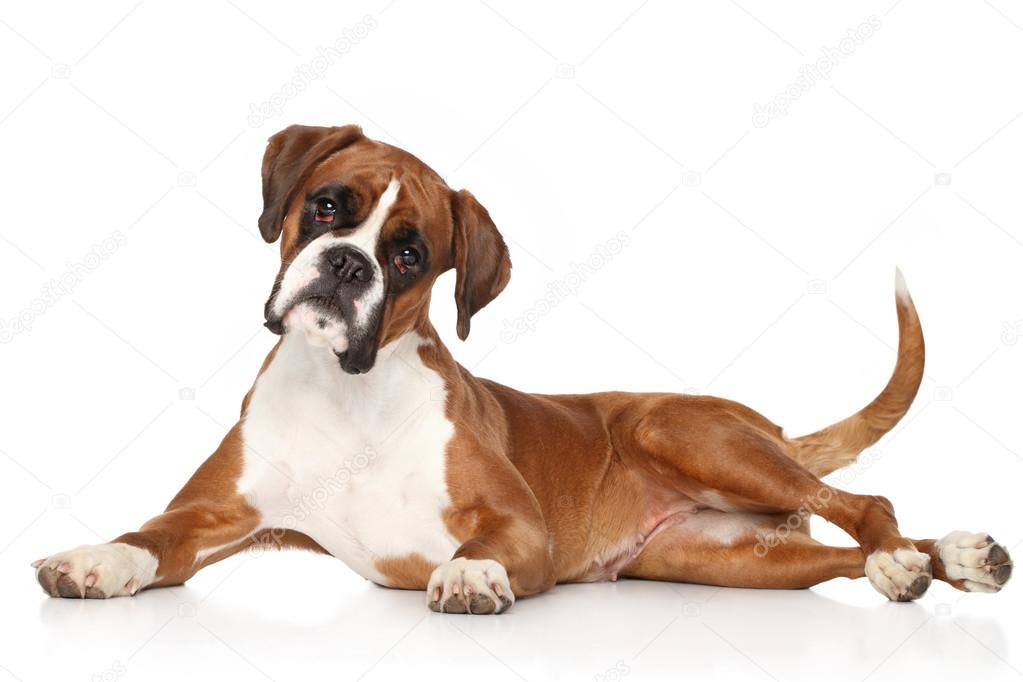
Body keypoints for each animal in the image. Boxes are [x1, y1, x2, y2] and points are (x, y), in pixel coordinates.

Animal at [34, 124, 1014, 613]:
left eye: (409, 257)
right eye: (327, 207)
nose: (346, 265)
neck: (345, 393)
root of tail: (766, 424)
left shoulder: (517, 524)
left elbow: (482, 546)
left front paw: (469, 576)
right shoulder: (210, 519)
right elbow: (146, 539)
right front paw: (93, 560)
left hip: (684, 433)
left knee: (866, 505)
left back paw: (908, 560)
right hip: (727, 562)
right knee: (843, 554)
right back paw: (947, 561)